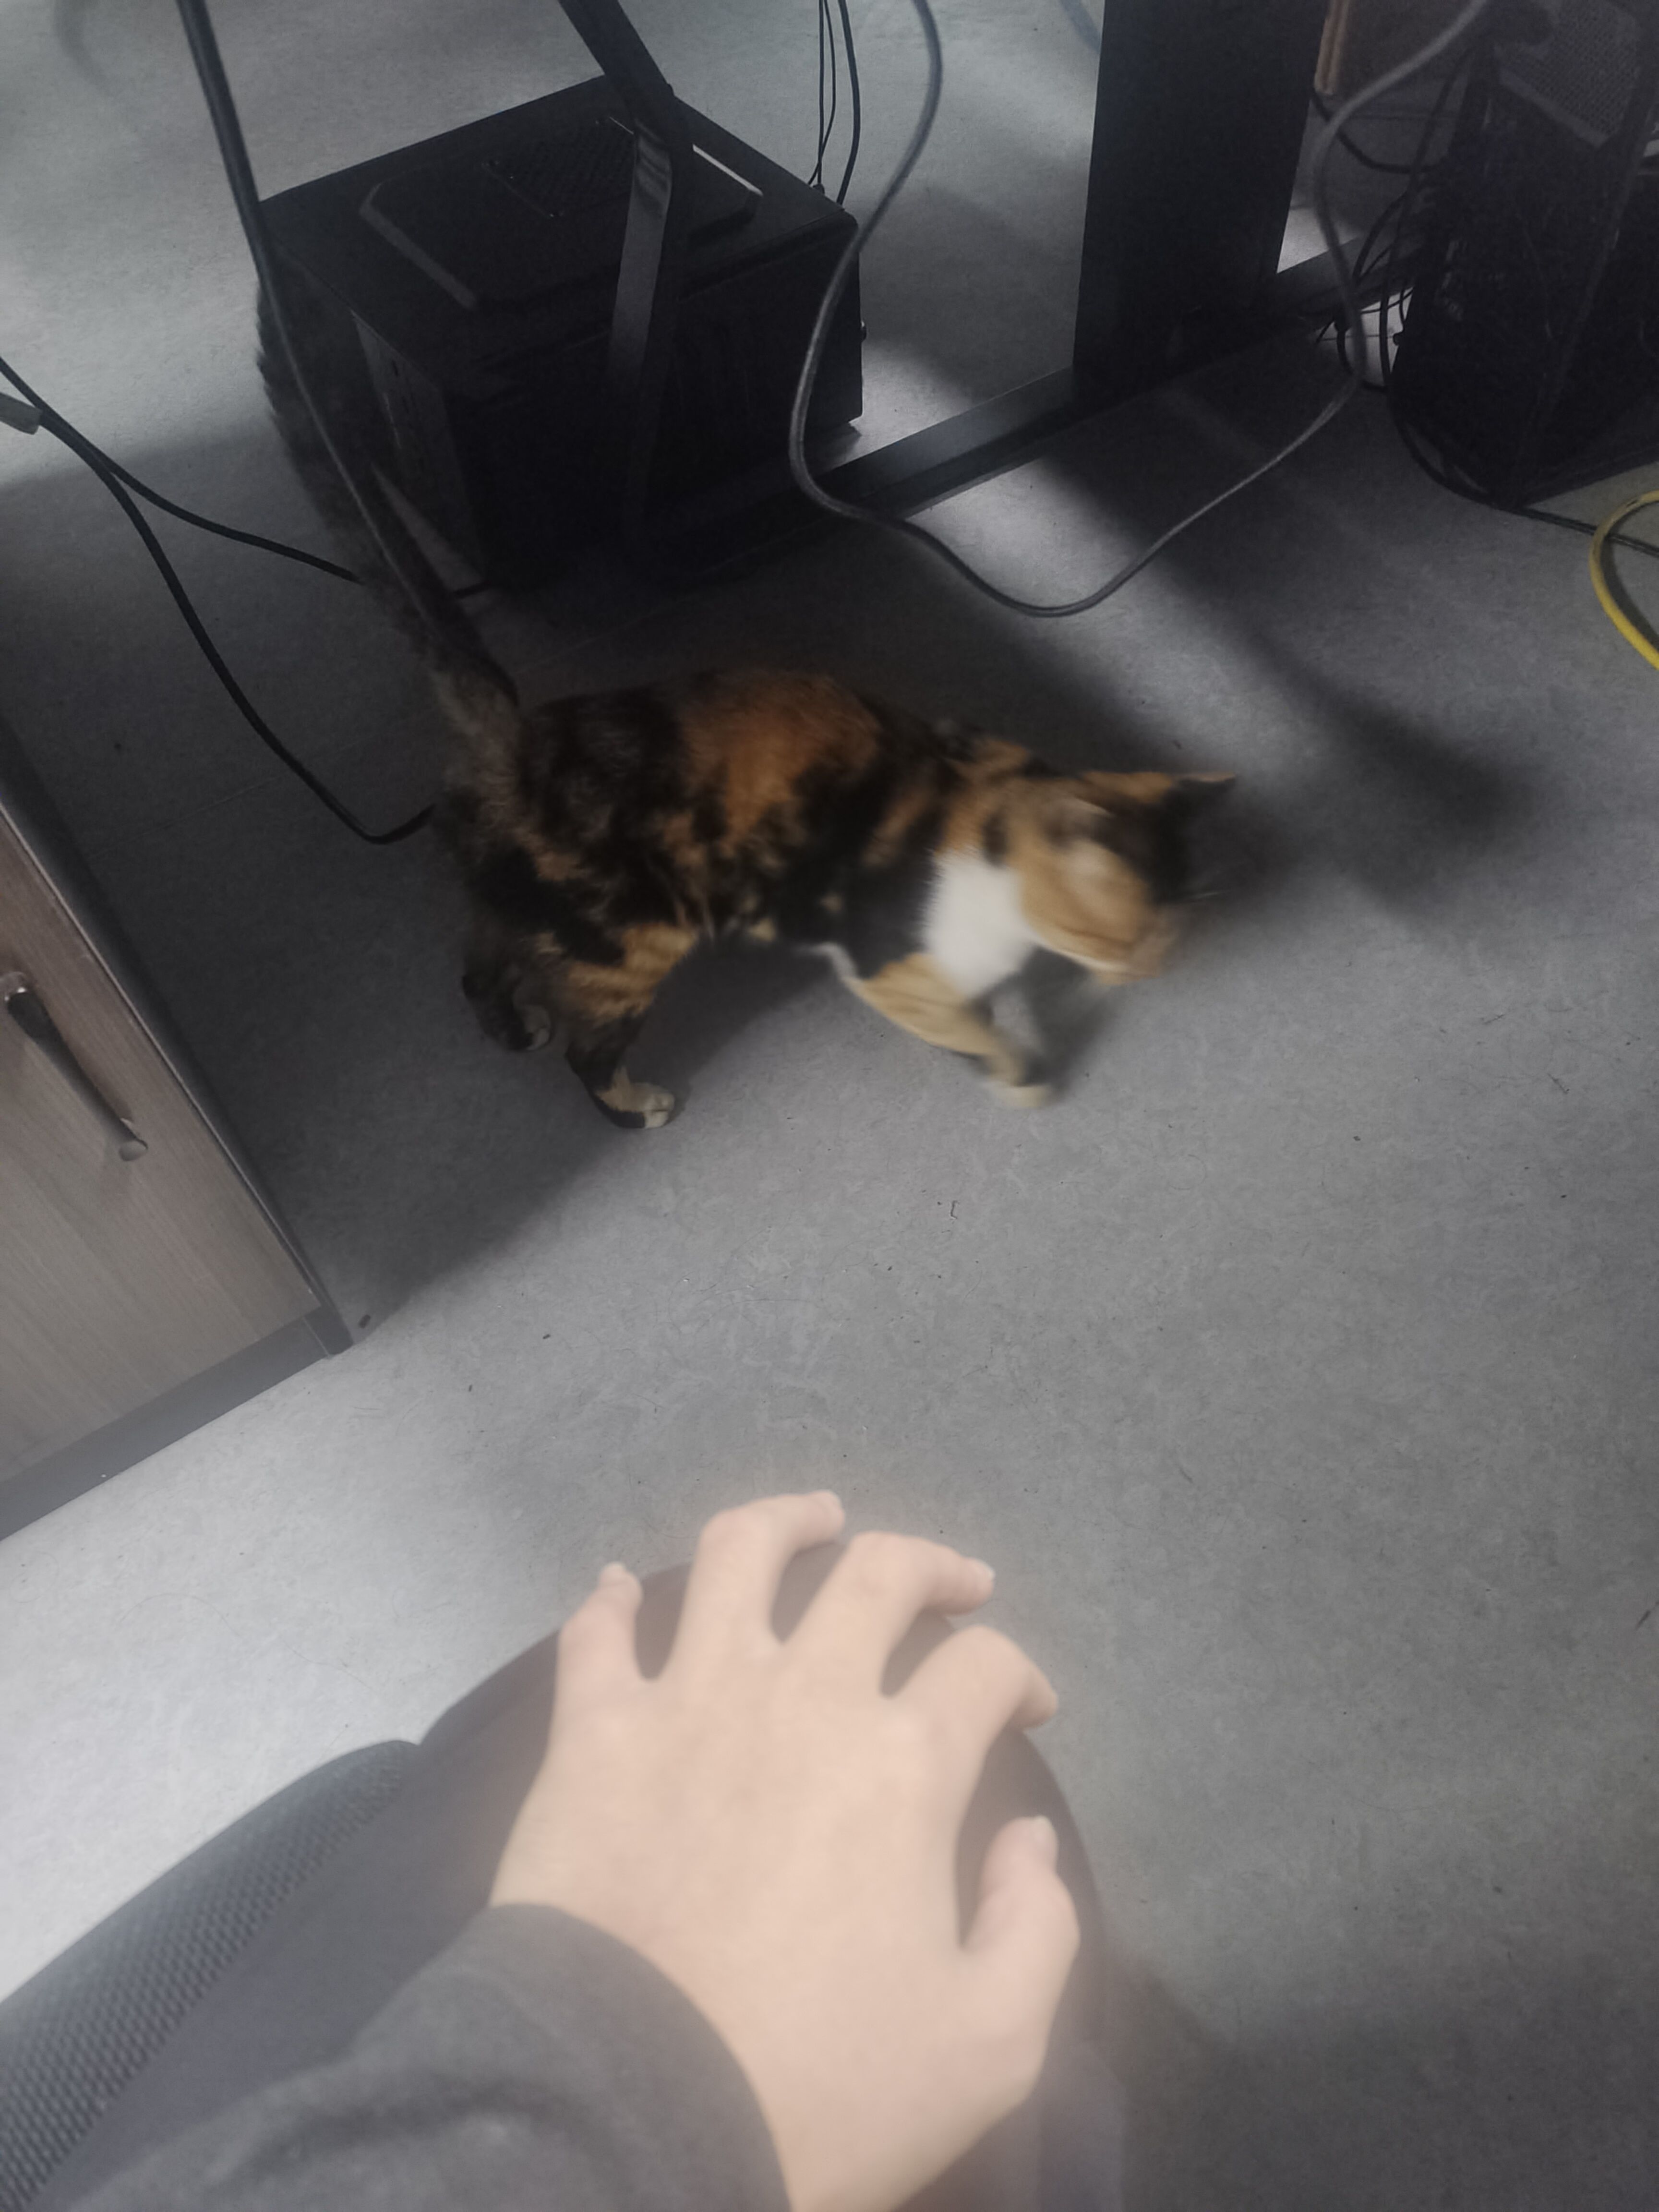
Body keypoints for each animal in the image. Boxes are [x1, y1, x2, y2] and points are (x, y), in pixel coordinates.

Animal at [259, 295, 1232, 1128]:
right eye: (1130, 936)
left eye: (1167, 937)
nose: (1151, 974)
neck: (990, 821)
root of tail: (512, 738)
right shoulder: (893, 970)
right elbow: (975, 1026)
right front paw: (1022, 1077)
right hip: (630, 944)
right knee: (584, 1048)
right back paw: (634, 1104)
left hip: (528, 906)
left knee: (479, 964)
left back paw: (511, 1024)